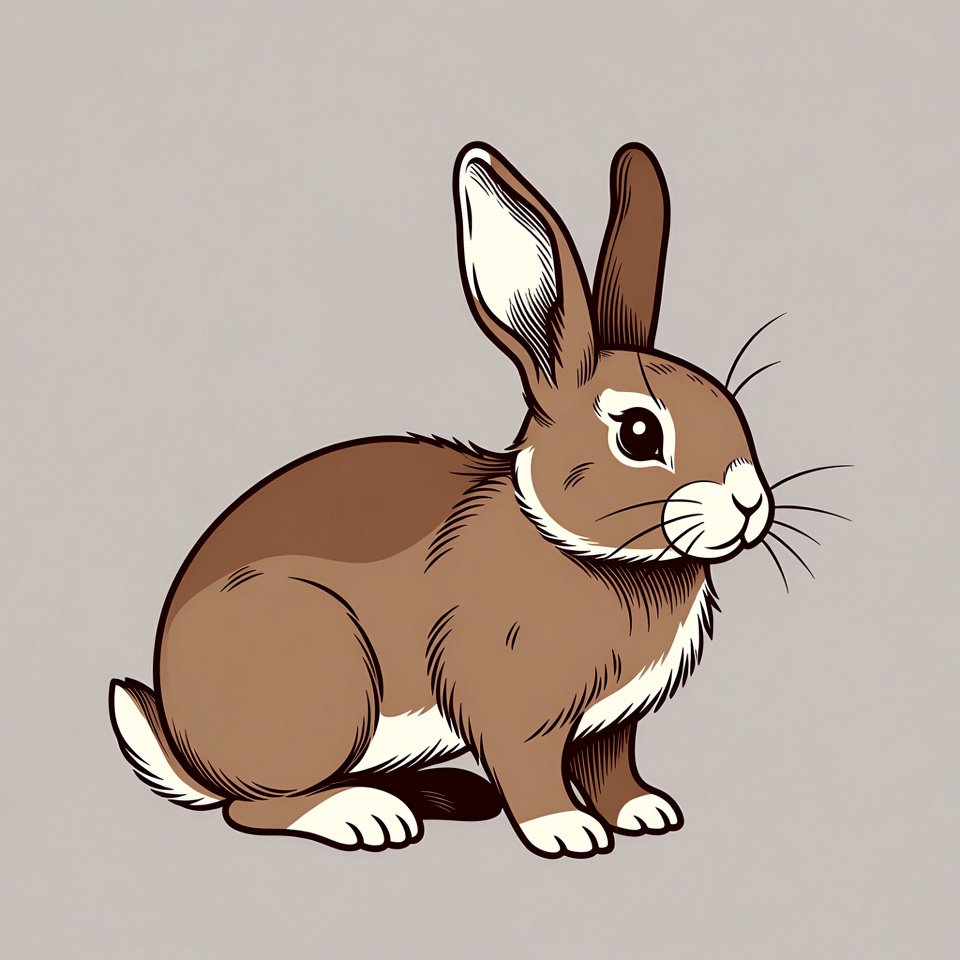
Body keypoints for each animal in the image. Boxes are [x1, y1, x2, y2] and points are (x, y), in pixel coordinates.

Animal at [109, 141, 775, 859]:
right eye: (639, 433)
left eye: (729, 406)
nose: (749, 502)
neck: (576, 546)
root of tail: (187, 749)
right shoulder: (514, 706)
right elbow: (530, 771)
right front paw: (566, 831)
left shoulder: (610, 724)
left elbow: (610, 767)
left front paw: (644, 811)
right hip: (325, 684)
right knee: (255, 806)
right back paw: (367, 816)